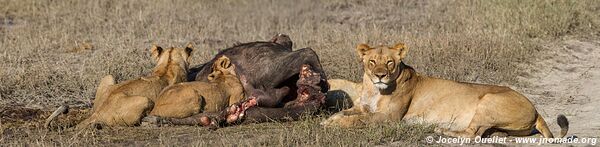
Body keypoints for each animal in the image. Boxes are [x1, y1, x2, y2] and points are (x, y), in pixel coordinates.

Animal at [322, 43, 568, 138]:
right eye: (372, 62)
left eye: (390, 62)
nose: (380, 75)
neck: (373, 90)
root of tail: (536, 110)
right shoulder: (363, 108)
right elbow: (346, 112)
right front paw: (329, 120)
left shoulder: (389, 117)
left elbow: (358, 120)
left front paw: (334, 125)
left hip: (488, 100)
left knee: (472, 134)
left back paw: (442, 130)